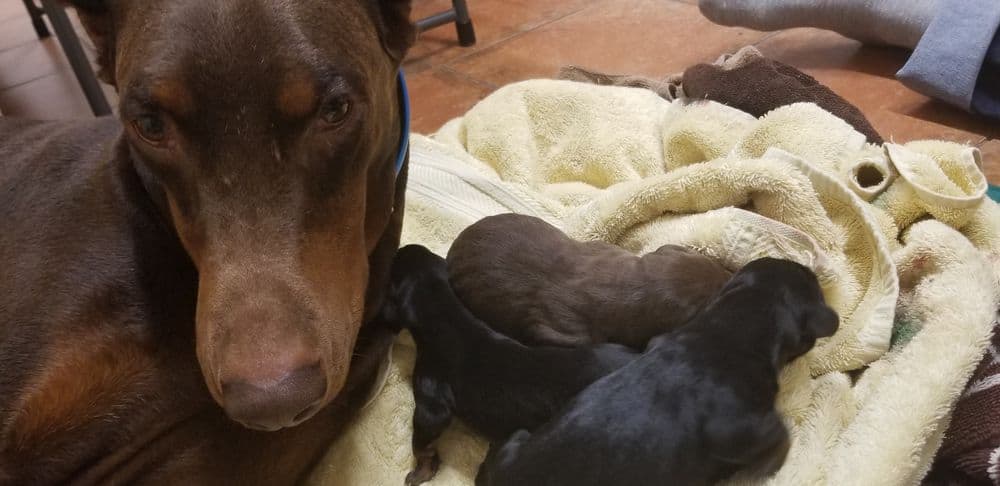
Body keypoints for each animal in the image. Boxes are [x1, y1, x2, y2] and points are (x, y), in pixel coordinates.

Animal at [378, 247, 636, 486]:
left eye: (394, 268)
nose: (401, 247)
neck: (445, 313)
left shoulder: (431, 402)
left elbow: (421, 439)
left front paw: (422, 470)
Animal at [450, 214, 732, 350]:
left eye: (713, 263)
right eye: (715, 295)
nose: (731, 275)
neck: (626, 286)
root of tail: (454, 246)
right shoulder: (563, 329)